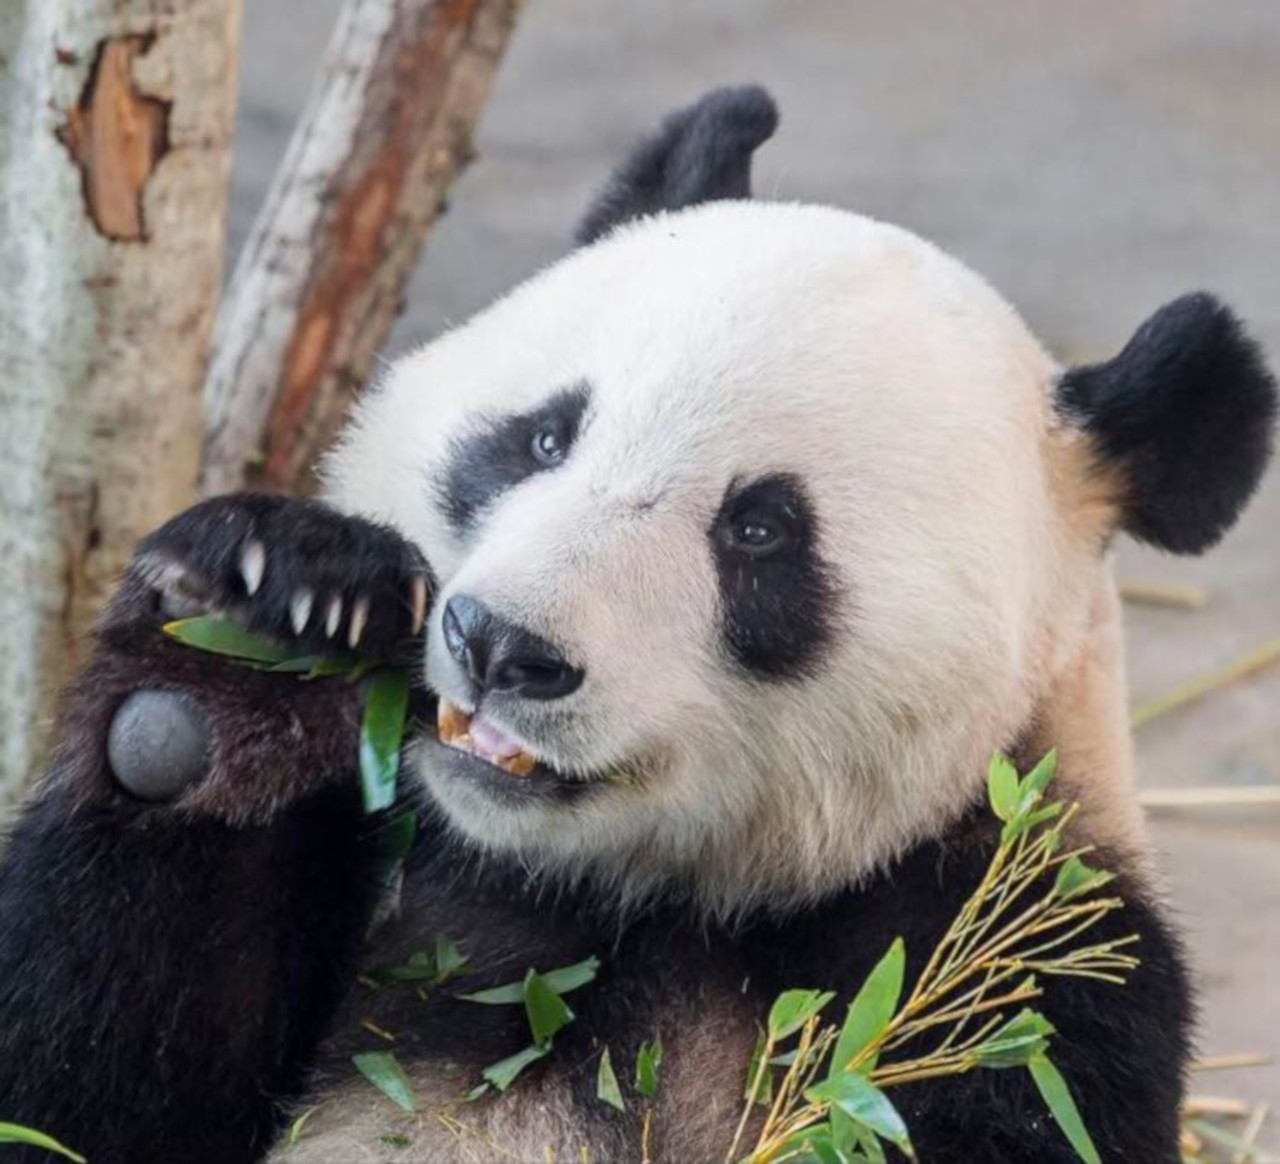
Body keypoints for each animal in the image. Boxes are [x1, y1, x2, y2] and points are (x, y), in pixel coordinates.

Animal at [1, 86, 1276, 1164]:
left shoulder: (1023, 968)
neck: (600, 897)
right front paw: (246, 644)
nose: (497, 644)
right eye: (541, 436)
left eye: (758, 532)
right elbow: (79, 1099)